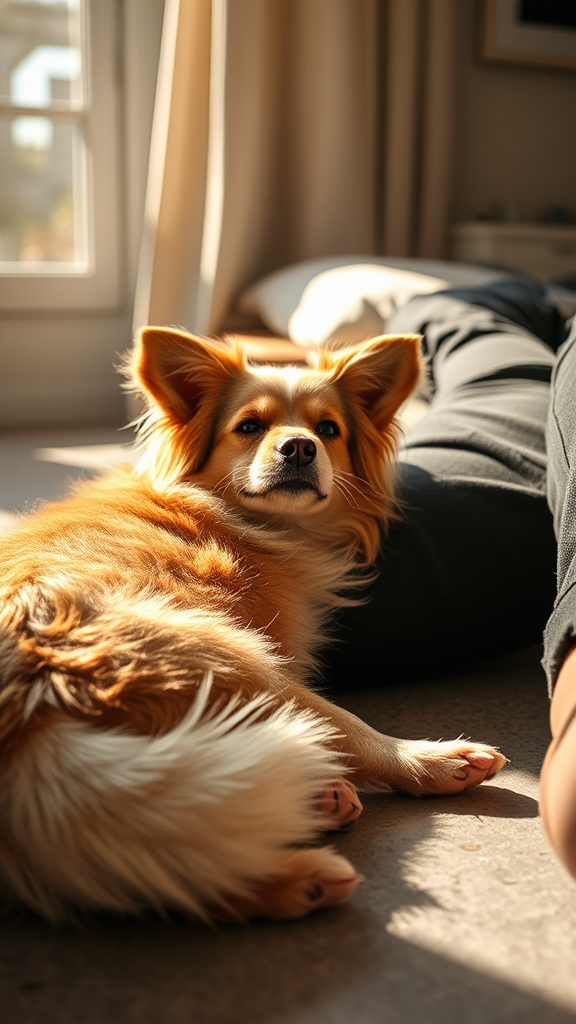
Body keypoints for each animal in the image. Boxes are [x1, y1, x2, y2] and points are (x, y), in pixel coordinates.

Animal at [0, 327, 502, 921]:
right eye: (249, 427)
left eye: (328, 430)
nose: (300, 446)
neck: (244, 519)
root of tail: (29, 717)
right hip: (236, 654)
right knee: (342, 732)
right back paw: (431, 762)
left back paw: (304, 863)